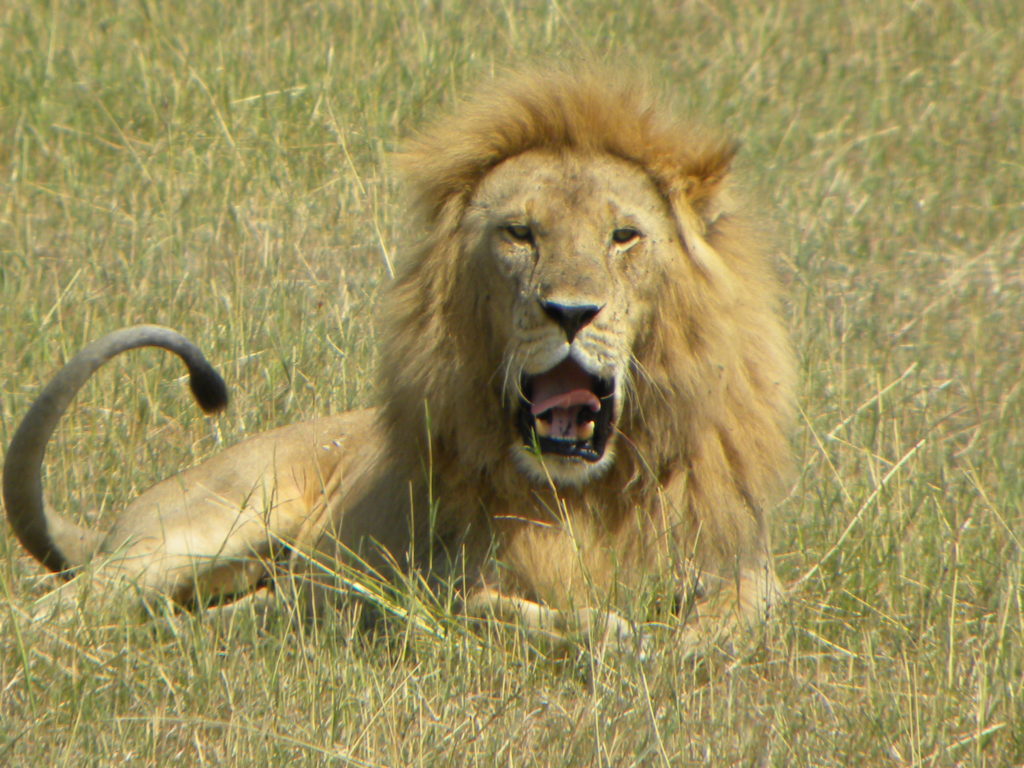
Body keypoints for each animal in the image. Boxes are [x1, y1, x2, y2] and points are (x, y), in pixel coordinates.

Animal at [4, 67, 794, 655]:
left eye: (623, 236)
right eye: (520, 234)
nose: (571, 312)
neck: (587, 491)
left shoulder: (740, 560)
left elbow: (748, 610)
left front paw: (685, 641)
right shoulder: (438, 585)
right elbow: (515, 616)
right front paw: (618, 636)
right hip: (201, 526)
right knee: (53, 609)